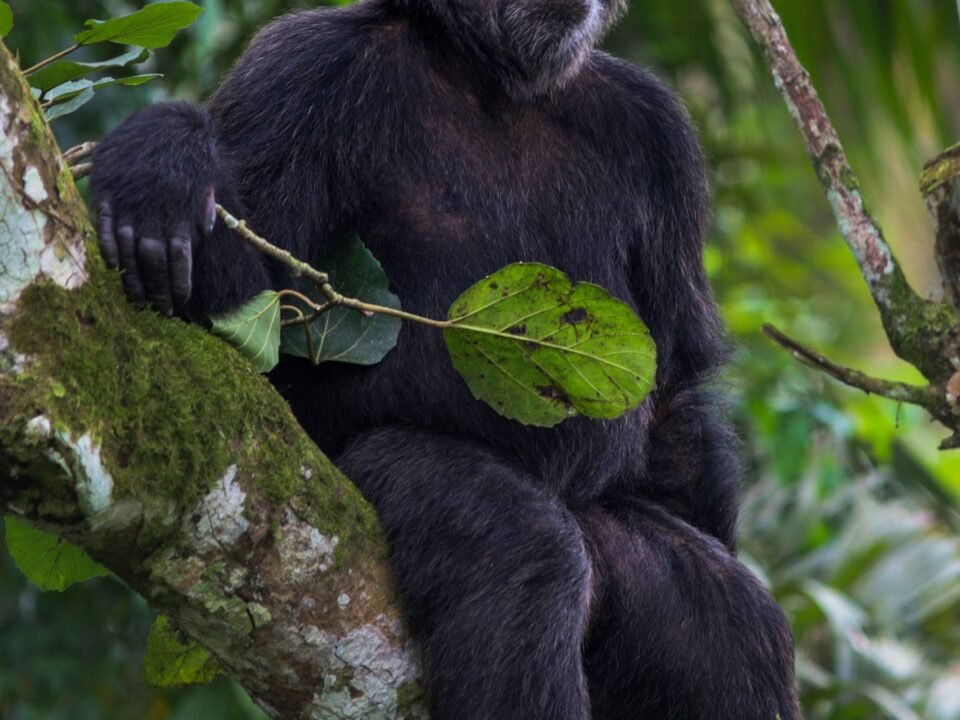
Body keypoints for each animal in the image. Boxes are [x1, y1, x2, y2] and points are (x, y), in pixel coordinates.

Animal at [91, 1, 802, 717]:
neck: (487, 75)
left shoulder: (658, 135)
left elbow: (674, 375)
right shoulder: (298, 72)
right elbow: (250, 314)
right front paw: (165, 166)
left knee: (728, 628)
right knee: (522, 557)